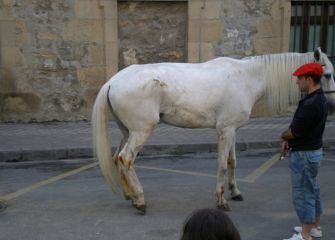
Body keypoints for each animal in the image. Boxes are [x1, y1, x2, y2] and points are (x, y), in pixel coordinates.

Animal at [91, 47, 335, 213]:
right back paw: (140, 200)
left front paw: (235, 192)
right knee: (126, 159)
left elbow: (232, 161)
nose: (331, 106)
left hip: (127, 132)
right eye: (328, 74)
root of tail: (112, 81)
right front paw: (221, 200)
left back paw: (130, 196)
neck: (245, 77)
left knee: (117, 158)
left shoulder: (232, 130)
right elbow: (222, 165)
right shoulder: (225, 131)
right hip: (141, 132)